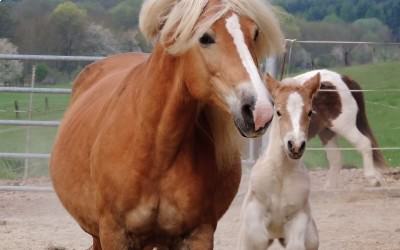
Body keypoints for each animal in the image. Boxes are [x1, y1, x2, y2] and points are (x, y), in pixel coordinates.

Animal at [50, 0, 284, 250]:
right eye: (205, 37)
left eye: (255, 32)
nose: (260, 110)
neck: (156, 150)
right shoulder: (114, 233)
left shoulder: (200, 234)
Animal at [238, 73, 322, 249]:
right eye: (278, 112)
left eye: (310, 112)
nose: (295, 146)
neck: (281, 174)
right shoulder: (254, 207)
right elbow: (257, 237)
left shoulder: (299, 216)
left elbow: (295, 245)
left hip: (312, 238)